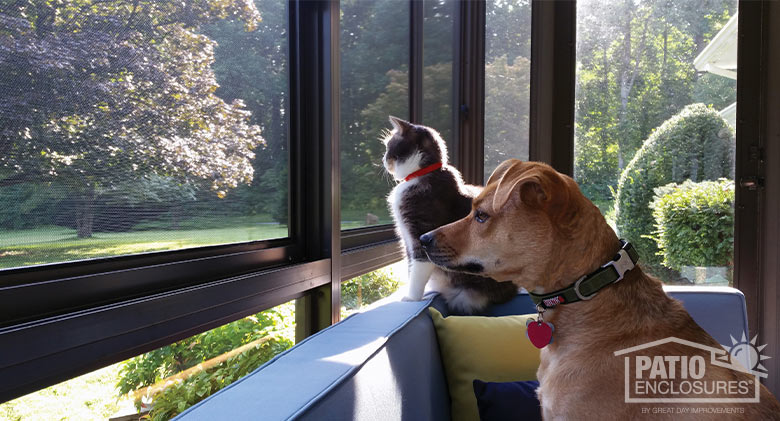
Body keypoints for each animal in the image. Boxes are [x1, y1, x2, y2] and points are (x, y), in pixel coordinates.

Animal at [382, 115, 516, 312]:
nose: (383, 160)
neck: (420, 174)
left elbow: (418, 268)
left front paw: (411, 298)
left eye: (389, 145)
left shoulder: (421, 231)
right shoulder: (407, 240)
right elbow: (410, 266)